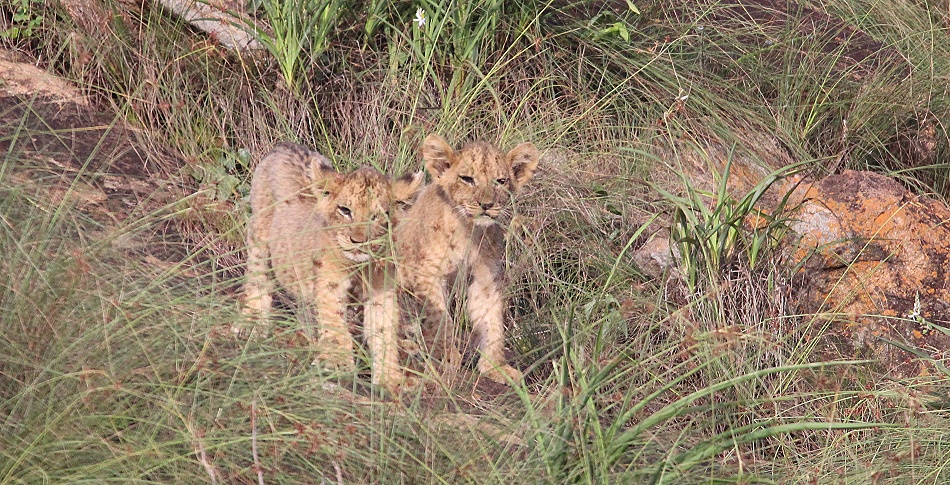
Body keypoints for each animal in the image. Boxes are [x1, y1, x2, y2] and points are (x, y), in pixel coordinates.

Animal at [238, 141, 423, 393]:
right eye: (345, 210)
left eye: (377, 216)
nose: (357, 241)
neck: (359, 266)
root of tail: (285, 145)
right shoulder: (329, 279)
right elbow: (334, 319)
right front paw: (337, 362)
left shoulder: (381, 288)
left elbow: (383, 330)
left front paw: (389, 379)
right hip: (260, 234)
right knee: (258, 277)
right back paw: (252, 323)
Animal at [394, 134, 539, 384]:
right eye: (467, 179)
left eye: (500, 181)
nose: (486, 205)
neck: (468, 230)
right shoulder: (426, 273)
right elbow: (440, 319)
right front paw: (448, 357)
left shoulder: (485, 279)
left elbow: (492, 322)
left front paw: (495, 366)